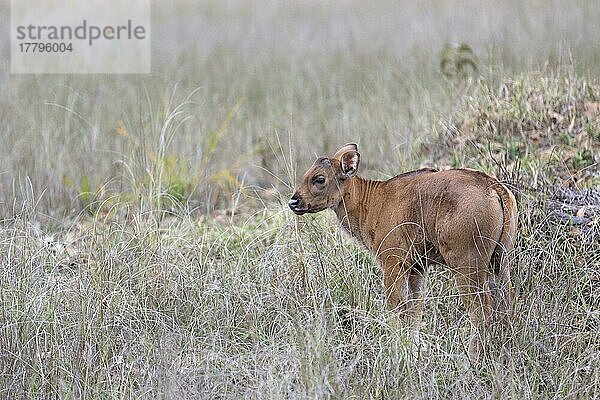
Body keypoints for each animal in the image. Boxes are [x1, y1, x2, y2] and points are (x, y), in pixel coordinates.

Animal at [288, 143, 516, 360]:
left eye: (319, 179)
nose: (293, 201)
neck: (371, 202)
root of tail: (494, 187)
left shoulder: (392, 264)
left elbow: (397, 309)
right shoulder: (417, 269)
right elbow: (414, 312)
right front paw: (412, 353)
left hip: (466, 266)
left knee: (481, 310)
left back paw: (471, 361)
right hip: (500, 262)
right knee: (505, 302)